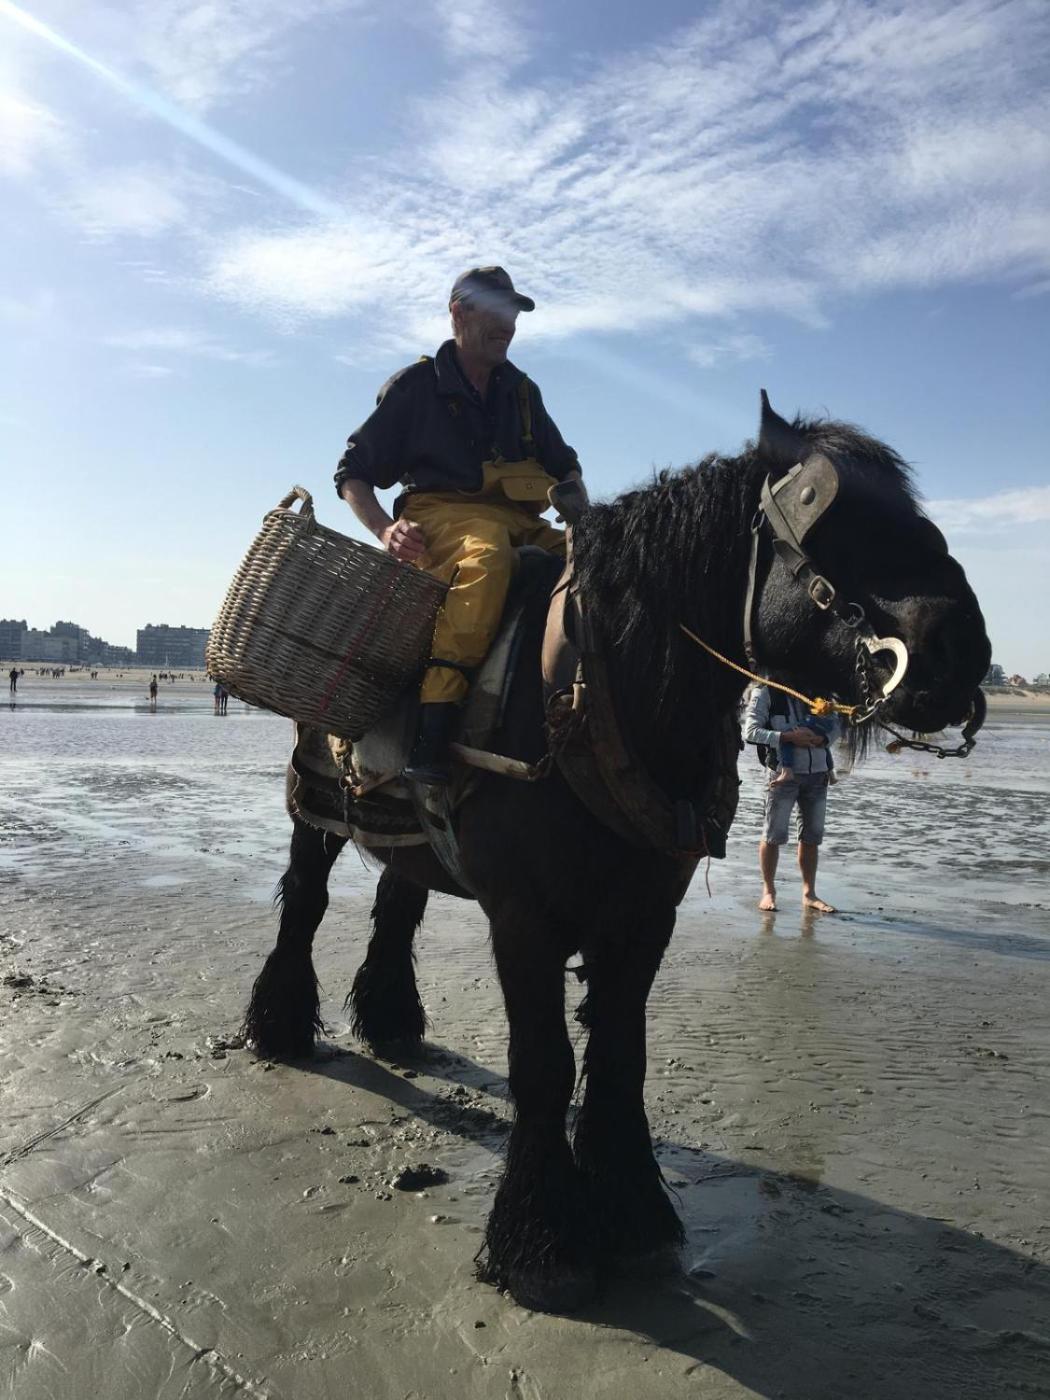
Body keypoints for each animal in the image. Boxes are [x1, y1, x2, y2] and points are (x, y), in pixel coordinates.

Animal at [242, 394, 991, 1313]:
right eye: (831, 512)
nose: (964, 647)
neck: (604, 690)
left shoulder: (642, 914)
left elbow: (619, 1058)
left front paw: (631, 1212)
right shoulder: (523, 919)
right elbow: (544, 1066)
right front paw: (538, 1238)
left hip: (411, 834)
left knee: (398, 905)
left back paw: (389, 1019)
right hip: (312, 804)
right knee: (305, 905)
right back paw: (279, 1026)